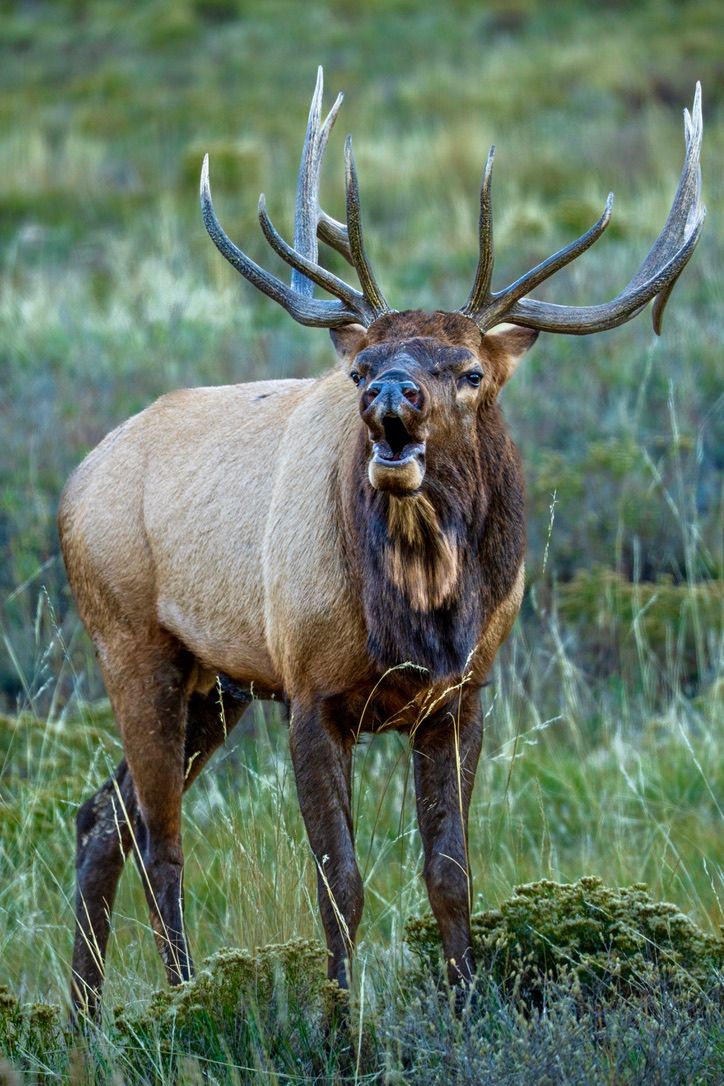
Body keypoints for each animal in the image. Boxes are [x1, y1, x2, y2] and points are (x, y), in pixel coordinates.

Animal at [58, 70, 704, 1019]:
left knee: (103, 817)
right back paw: (180, 999)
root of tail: (72, 486)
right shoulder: (309, 688)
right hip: (132, 640)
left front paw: (469, 1001)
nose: (389, 399)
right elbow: (341, 883)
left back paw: (84, 1017)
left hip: (218, 681)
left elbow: (451, 873)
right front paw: (339, 1016)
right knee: (159, 839)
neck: (421, 615)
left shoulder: (461, 697)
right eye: (361, 368)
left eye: (470, 370)